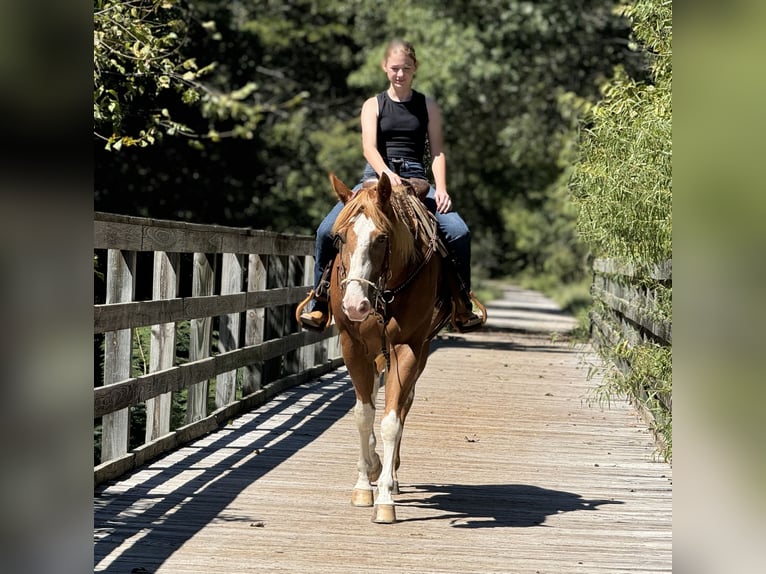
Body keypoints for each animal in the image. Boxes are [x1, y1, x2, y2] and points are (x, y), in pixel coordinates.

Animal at [324, 172, 456, 528]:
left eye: (382, 238)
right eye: (339, 238)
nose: (355, 305)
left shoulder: (407, 349)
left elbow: (390, 420)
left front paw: (383, 498)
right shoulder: (353, 347)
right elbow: (363, 414)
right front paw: (363, 483)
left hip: (420, 352)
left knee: (404, 404)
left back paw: (390, 476)